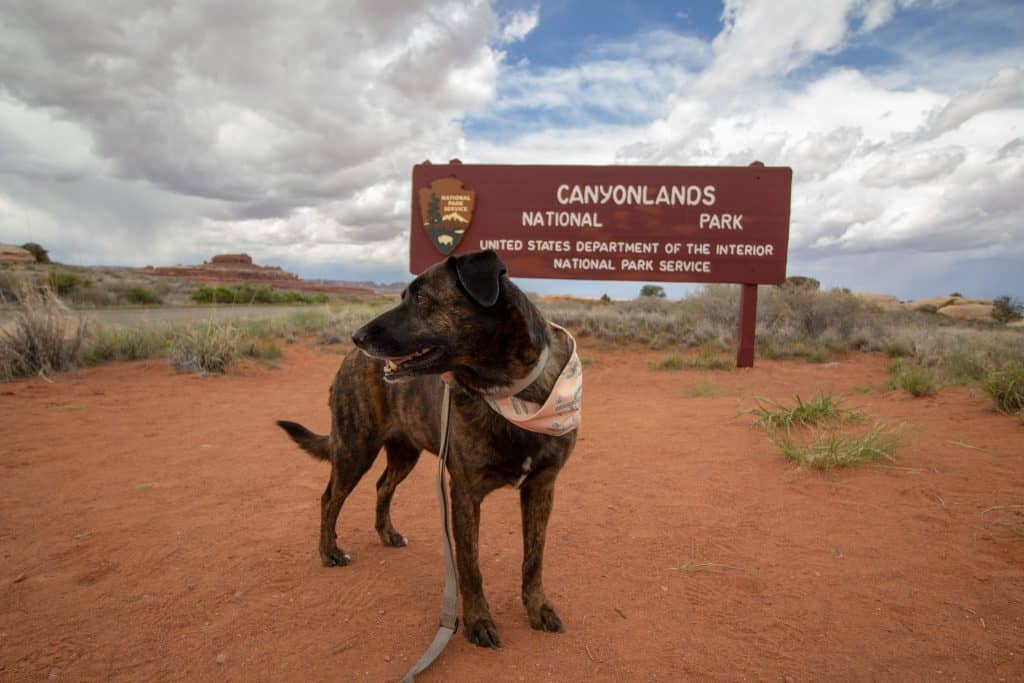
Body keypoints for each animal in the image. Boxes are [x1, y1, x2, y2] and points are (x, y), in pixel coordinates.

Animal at [280, 249, 581, 647]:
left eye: (422, 298)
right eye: (404, 297)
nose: (356, 336)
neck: (509, 390)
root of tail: (347, 360)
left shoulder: (542, 486)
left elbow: (534, 559)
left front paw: (538, 608)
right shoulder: (465, 492)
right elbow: (470, 566)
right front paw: (478, 621)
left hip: (404, 453)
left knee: (382, 486)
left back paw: (388, 534)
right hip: (354, 447)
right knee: (330, 498)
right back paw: (329, 552)